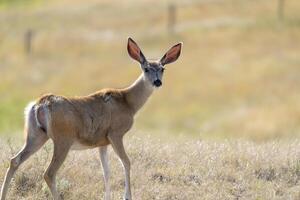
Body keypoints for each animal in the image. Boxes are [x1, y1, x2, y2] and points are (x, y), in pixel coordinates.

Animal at [0, 38, 182, 200]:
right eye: (145, 68)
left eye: (162, 69)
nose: (157, 82)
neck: (128, 102)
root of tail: (40, 104)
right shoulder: (115, 133)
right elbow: (126, 162)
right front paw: (127, 196)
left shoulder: (102, 142)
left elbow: (106, 171)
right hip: (62, 138)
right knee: (49, 173)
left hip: (36, 135)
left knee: (15, 160)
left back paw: (3, 195)